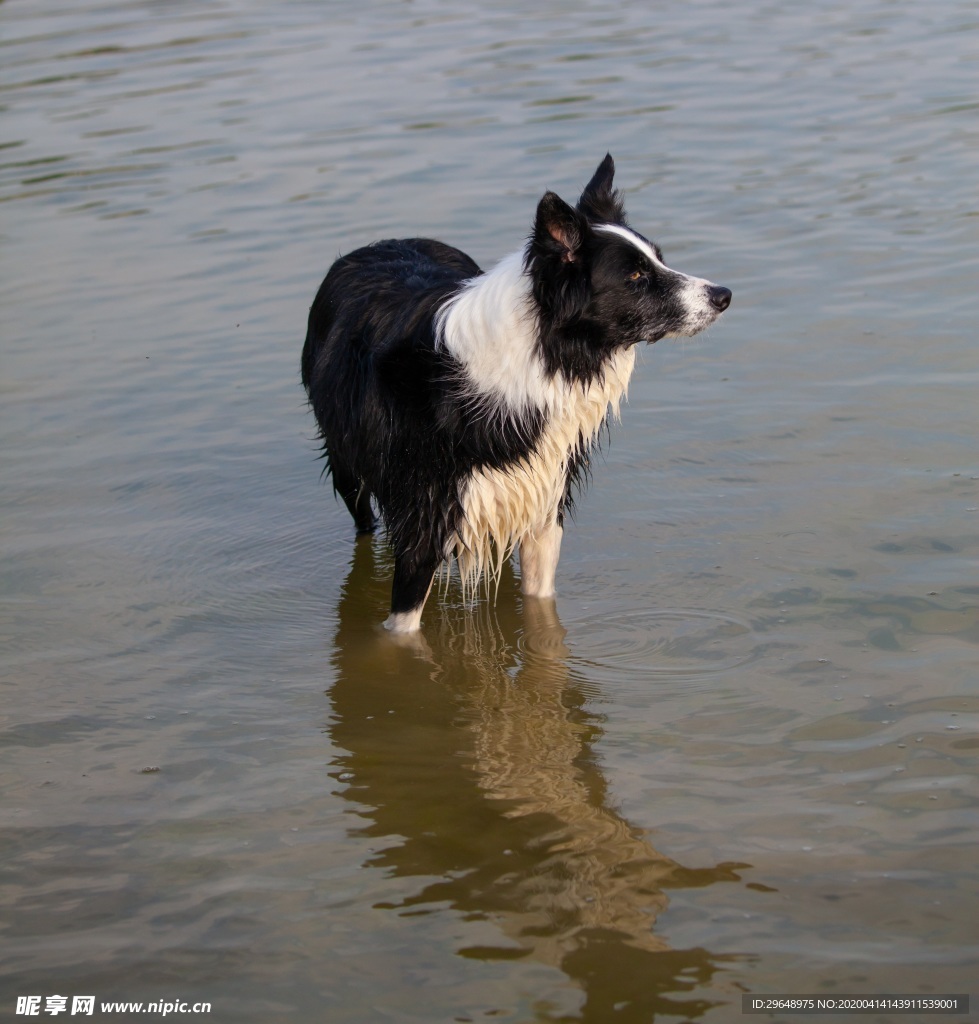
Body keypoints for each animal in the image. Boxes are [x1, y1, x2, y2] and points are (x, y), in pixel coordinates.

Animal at [303, 153, 729, 630]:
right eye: (636, 276)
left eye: (659, 260)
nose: (724, 295)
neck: (541, 357)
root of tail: (375, 245)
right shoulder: (423, 524)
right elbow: (402, 630)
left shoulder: (542, 502)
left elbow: (541, 610)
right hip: (348, 466)